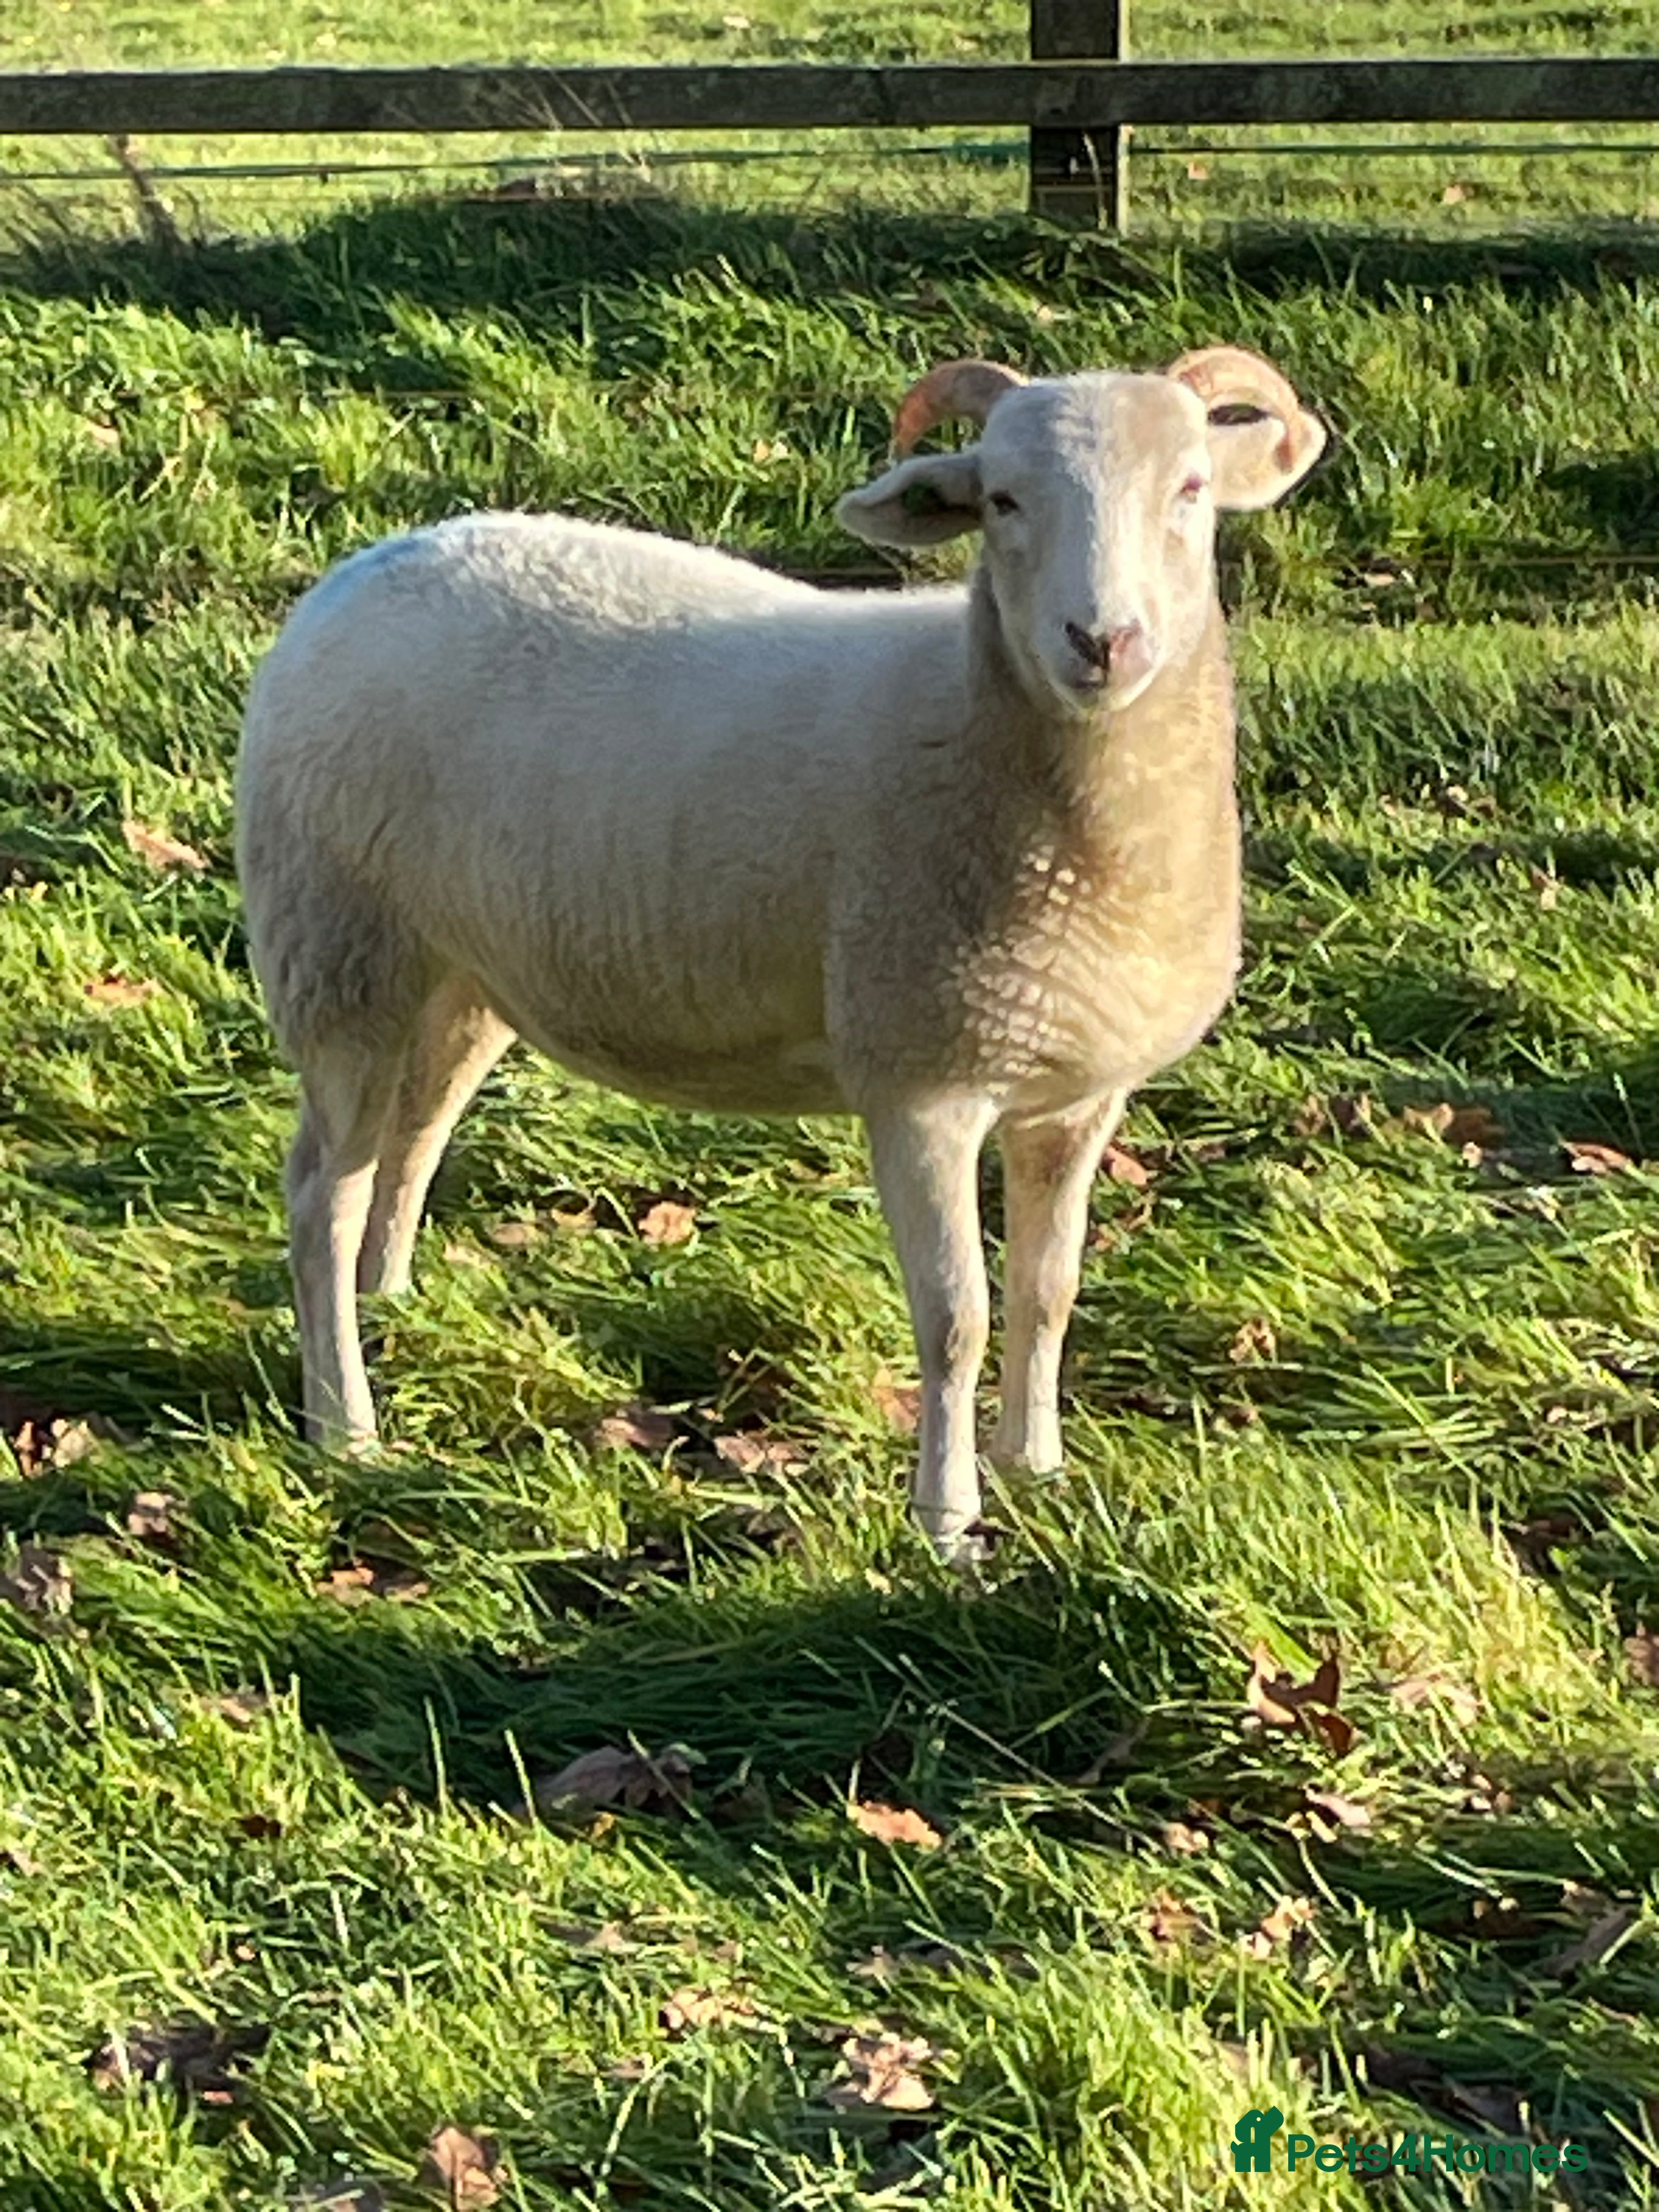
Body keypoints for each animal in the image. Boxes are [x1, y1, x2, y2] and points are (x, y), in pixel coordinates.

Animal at [234, 345, 1326, 1558]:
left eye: (1191, 487)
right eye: (1001, 500)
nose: (1104, 644)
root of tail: (367, 567)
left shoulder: (1076, 1092)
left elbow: (1047, 1293)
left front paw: (1033, 1466)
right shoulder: (918, 1081)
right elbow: (956, 1318)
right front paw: (946, 1522)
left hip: (456, 967)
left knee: (412, 1132)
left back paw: (396, 1307)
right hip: (335, 948)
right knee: (319, 1195)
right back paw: (346, 1424)